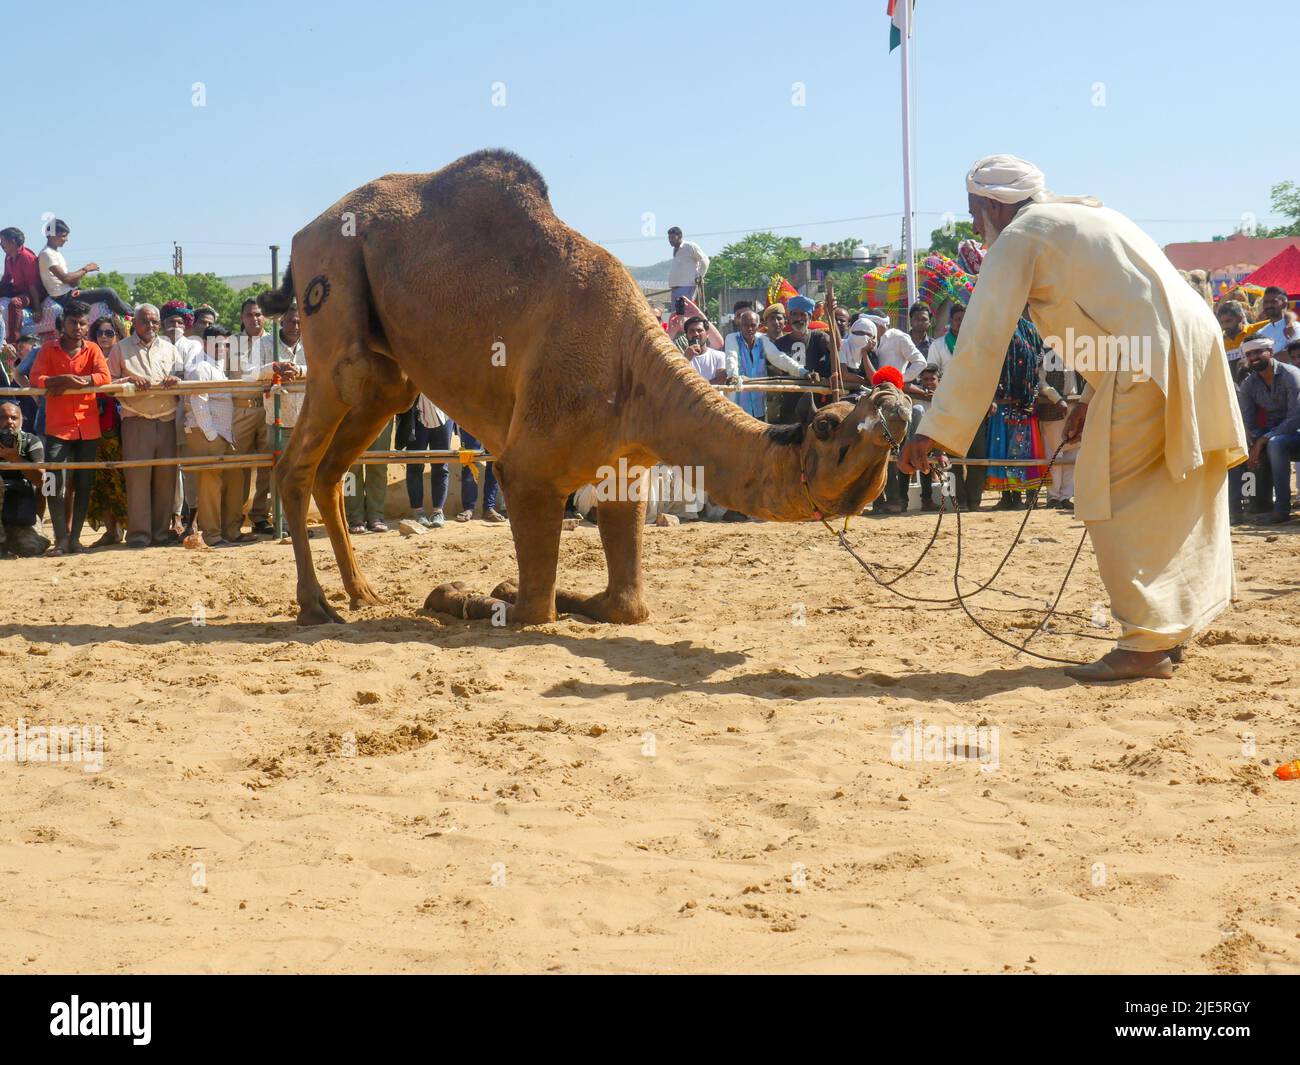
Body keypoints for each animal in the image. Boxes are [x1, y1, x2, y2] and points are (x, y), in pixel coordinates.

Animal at [261, 146, 915, 629]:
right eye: (828, 423)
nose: (896, 402)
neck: (637, 371)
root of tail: (301, 238)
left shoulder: (625, 465)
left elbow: (625, 605)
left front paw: (509, 589)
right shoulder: (527, 468)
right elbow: (534, 606)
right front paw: (458, 592)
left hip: (384, 373)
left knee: (339, 455)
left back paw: (362, 595)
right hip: (333, 289)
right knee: (303, 451)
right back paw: (315, 606)